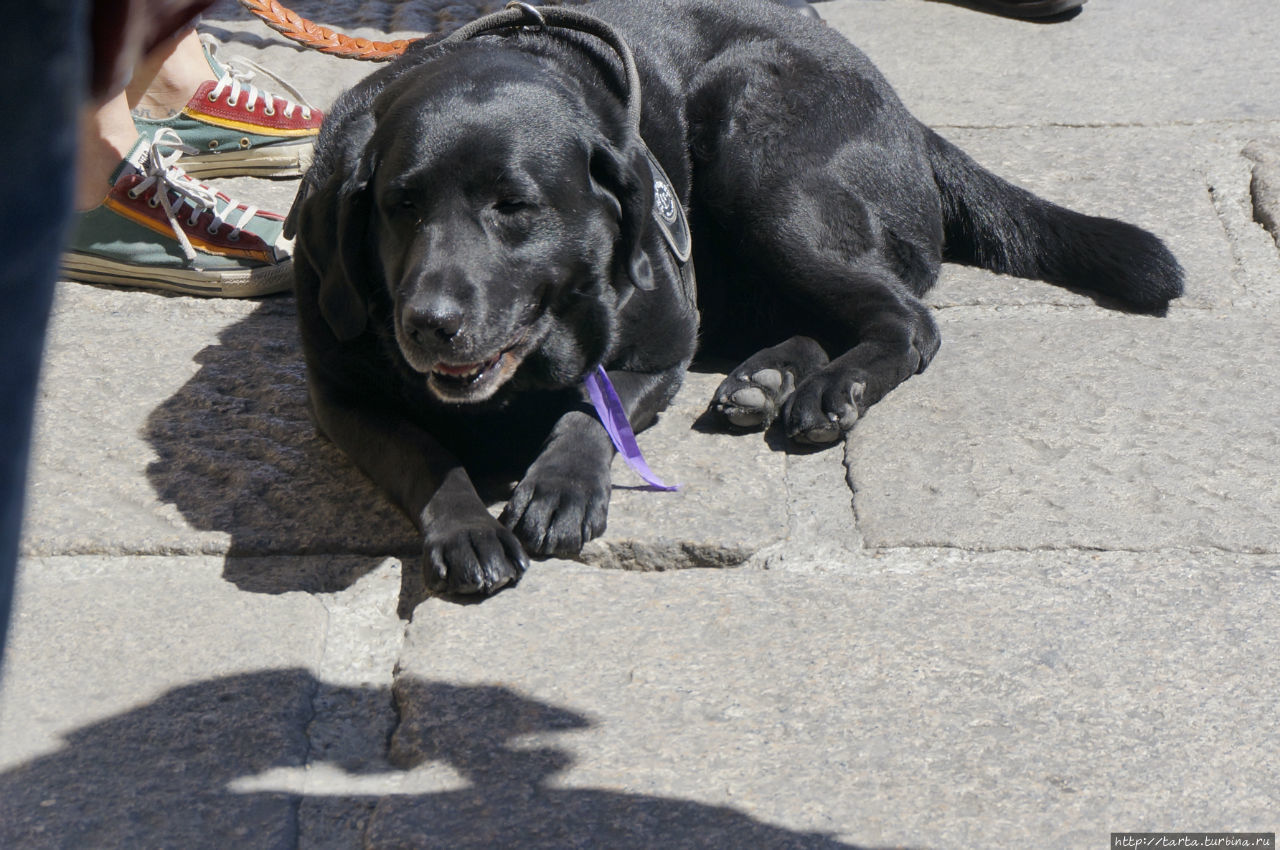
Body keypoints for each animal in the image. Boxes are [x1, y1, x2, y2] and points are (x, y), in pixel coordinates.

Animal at [288, 0, 1177, 596]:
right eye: (399, 206)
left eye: (515, 206)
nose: (428, 324)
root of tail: (904, 111)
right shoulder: (340, 396)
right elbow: (422, 451)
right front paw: (467, 527)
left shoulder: (663, 345)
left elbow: (590, 414)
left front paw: (560, 485)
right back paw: (769, 378)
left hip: (764, 169)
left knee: (905, 317)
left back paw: (829, 389)